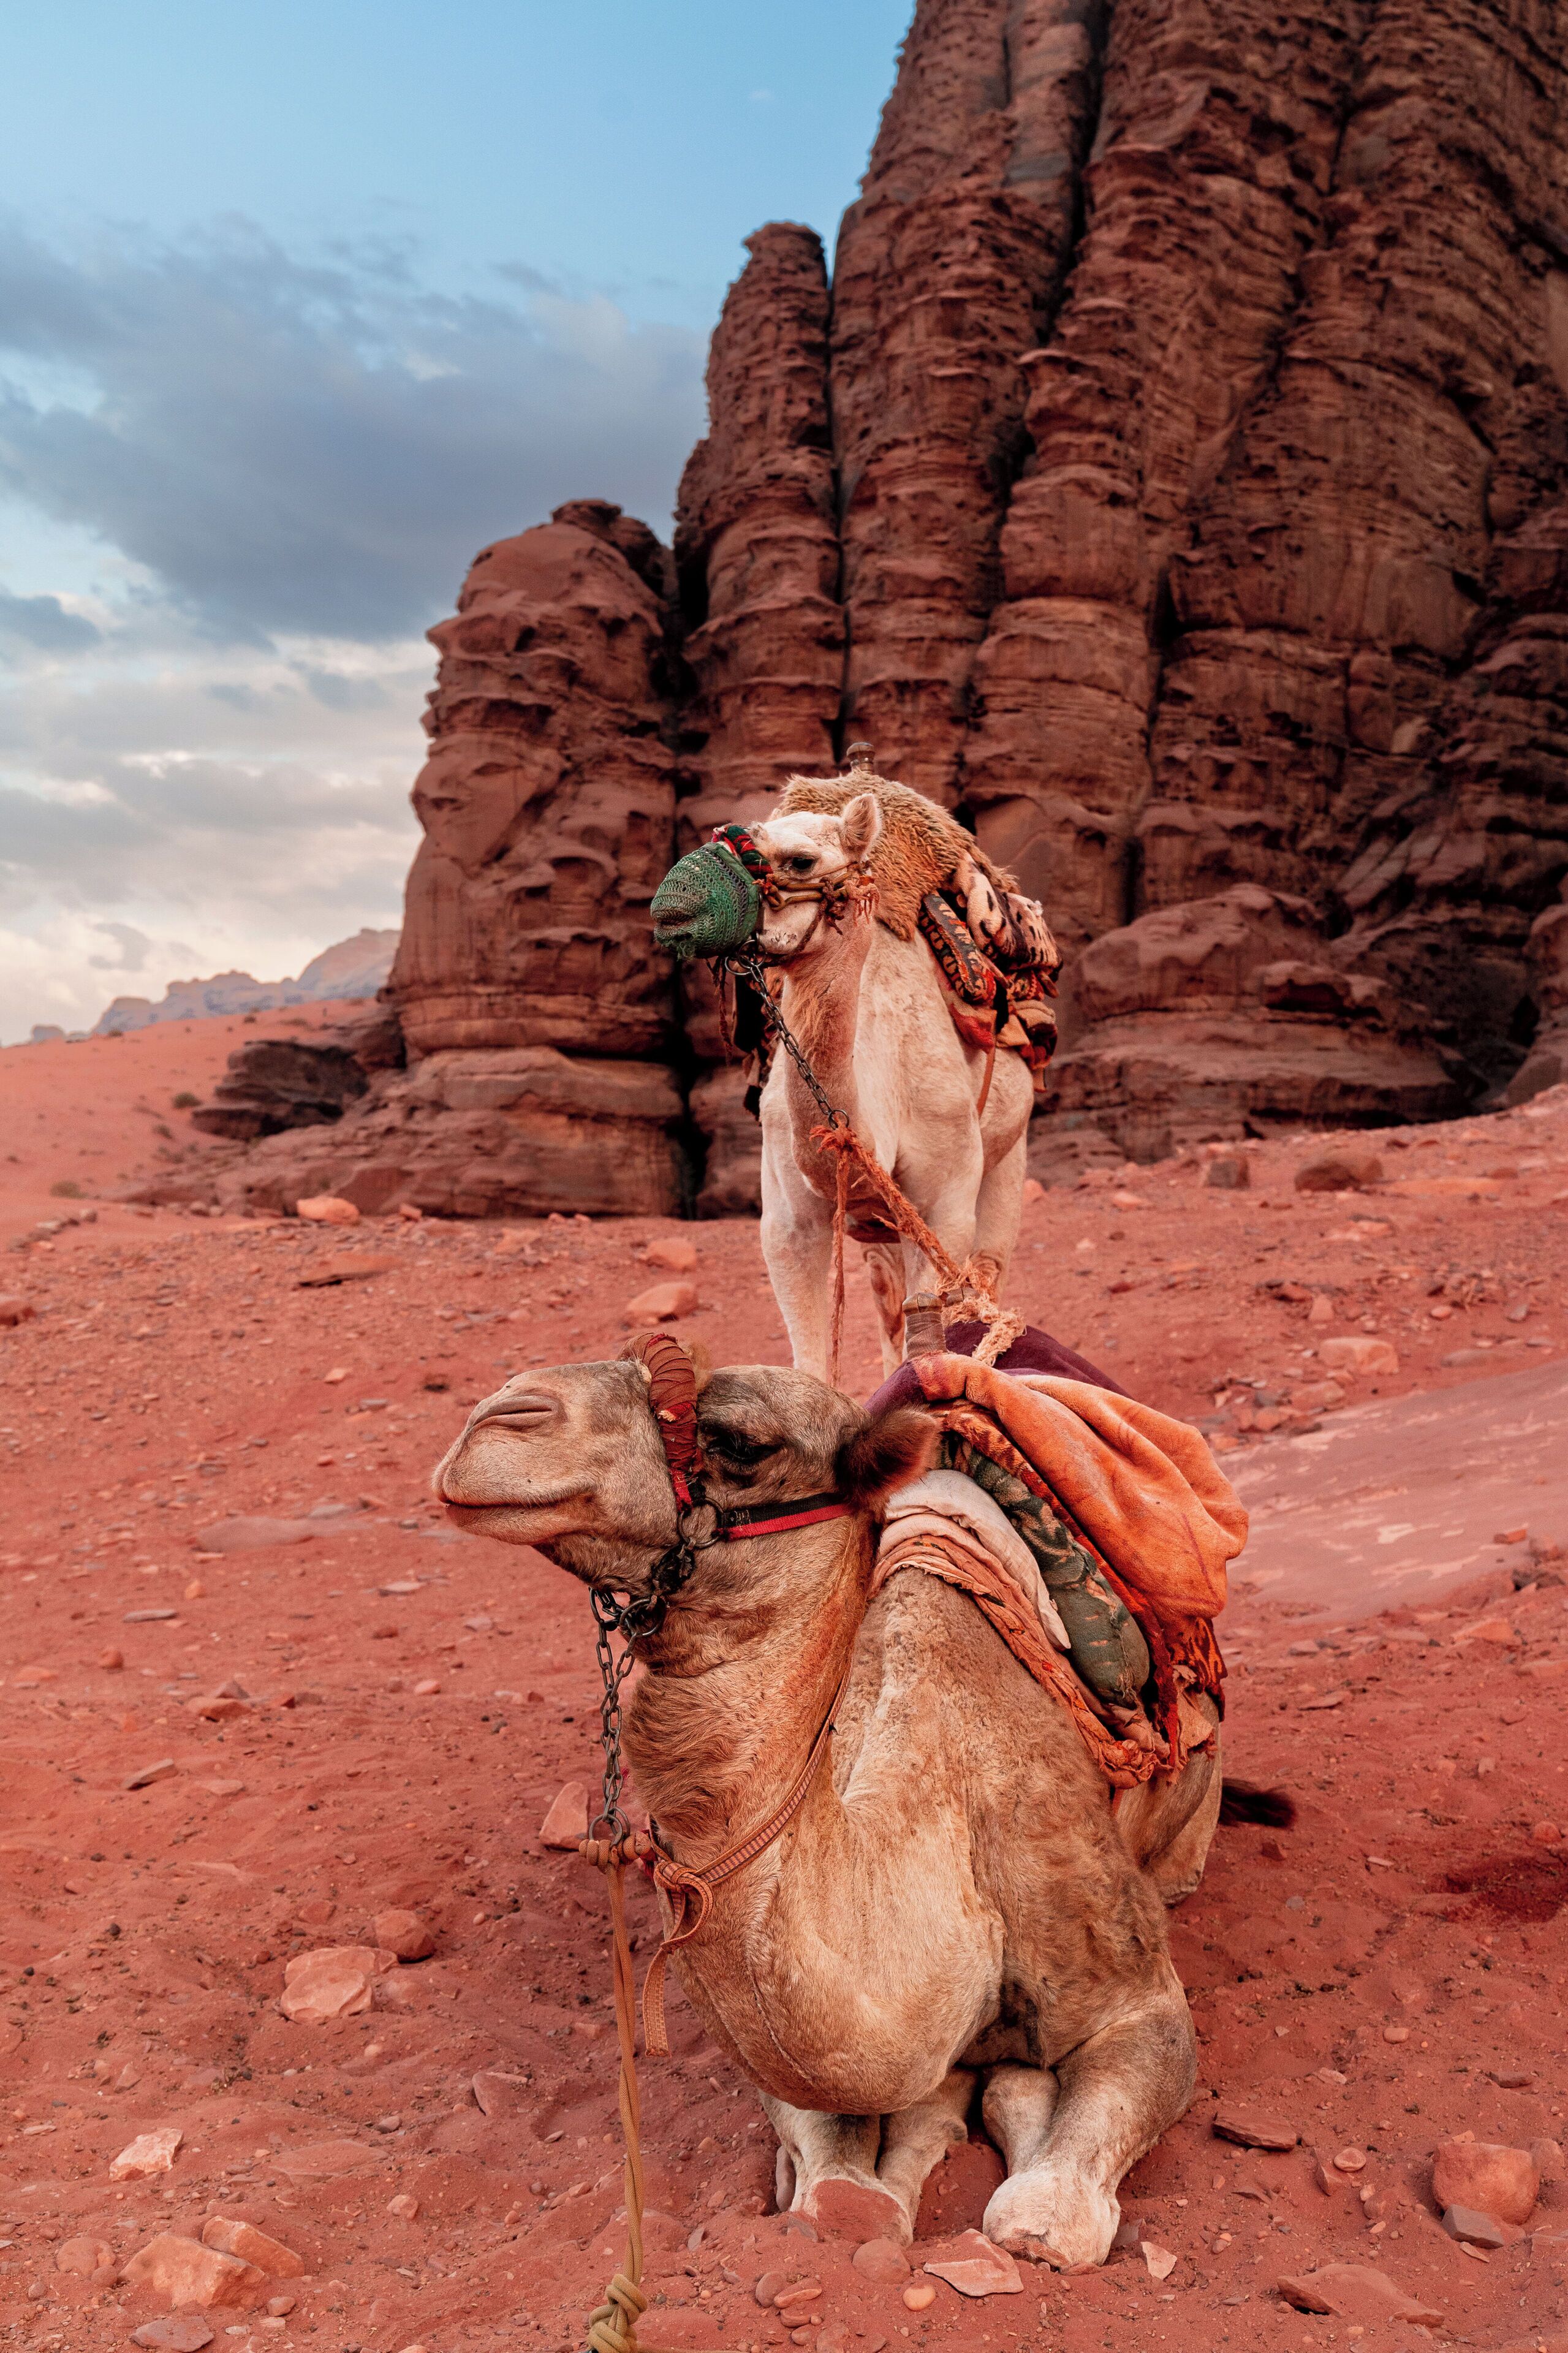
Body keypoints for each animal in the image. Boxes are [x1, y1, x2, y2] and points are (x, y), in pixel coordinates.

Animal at [744, 787, 1037, 1382]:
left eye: (800, 861)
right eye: (743, 852)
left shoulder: (944, 1207)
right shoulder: (786, 1223)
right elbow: (811, 1361)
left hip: (1008, 1151)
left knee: (987, 1269)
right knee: (886, 1298)